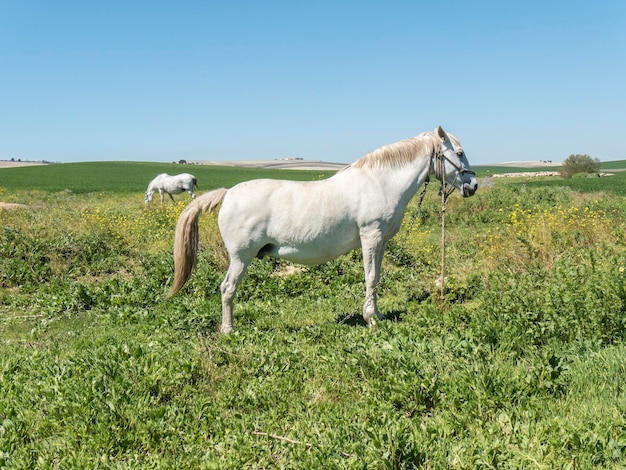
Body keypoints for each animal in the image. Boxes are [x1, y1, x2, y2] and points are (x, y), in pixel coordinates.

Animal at [168, 127, 476, 334]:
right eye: (460, 153)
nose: (472, 185)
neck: (380, 182)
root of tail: (228, 193)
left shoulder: (381, 242)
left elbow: (375, 278)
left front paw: (377, 315)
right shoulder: (371, 236)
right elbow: (370, 276)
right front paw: (370, 319)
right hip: (240, 258)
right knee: (227, 288)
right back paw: (228, 329)